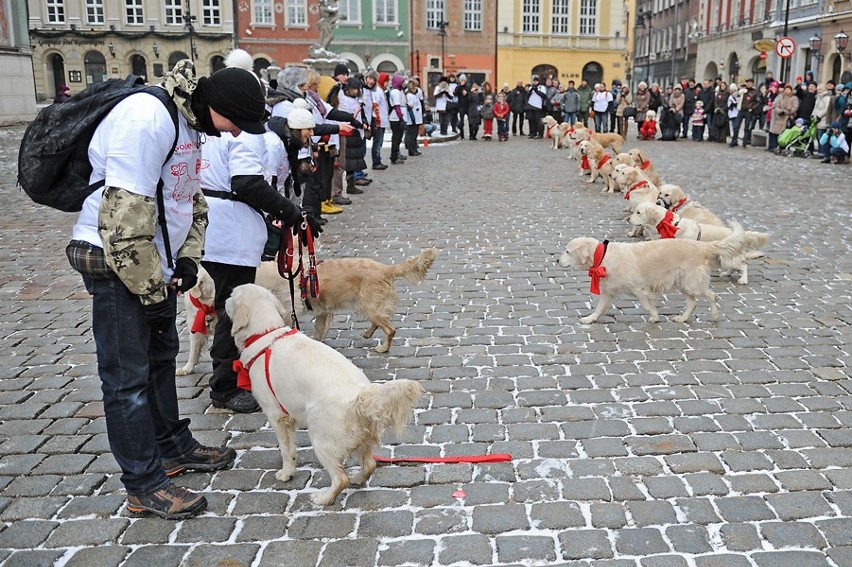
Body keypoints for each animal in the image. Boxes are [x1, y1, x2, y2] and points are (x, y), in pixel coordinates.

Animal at [225, 284, 424, 506]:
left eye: (231, 295)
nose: (222, 301)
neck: (267, 333)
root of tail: (360, 398)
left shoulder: (276, 414)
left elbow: (285, 448)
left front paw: (286, 473)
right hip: (362, 438)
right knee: (370, 465)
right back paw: (357, 479)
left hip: (320, 438)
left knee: (340, 478)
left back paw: (324, 498)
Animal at [255, 250, 440, 352]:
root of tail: (385, 268)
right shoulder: (322, 312)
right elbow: (318, 332)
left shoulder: (291, 310)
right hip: (370, 308)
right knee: (381, 321)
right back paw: (367, 333)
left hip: (369, 307)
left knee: (390, 329)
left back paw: (383, 348)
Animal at [560, 225, 752, 326]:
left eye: (567, 251)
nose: (556, 260)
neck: (603, 255)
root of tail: (703, 246)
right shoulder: (608, 292)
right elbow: (599, 309)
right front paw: (589, 319)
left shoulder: (640, 289)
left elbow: (646, 305)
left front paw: (654, 316)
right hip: (683, 283)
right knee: (693, 302)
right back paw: (682, 318)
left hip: (692, 283)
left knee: (711, 296)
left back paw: (714, 315)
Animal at [624, 203, 772, 286]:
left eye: (638, 212)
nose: (627, 219)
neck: (669, 224)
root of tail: (741, 234)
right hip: (723, 259)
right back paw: (726, 274)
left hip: (726, 258)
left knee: (743, 265)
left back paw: (743, 280)